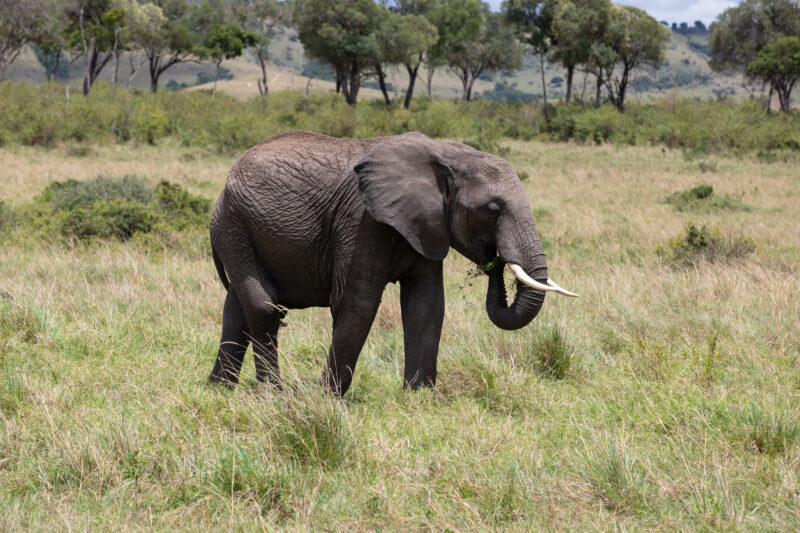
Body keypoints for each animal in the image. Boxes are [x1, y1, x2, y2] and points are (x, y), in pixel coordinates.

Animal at [208, 130, 576, 395]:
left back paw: (219, 389)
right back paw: (273, 393)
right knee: (262, 305)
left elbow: (426, 305)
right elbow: (357, 303)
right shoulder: (362, 221)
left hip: (237, 229)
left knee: (237, 308)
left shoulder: (426, 224)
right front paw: (326, 397)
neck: (446, 155)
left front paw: (418, 396)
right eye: (493, 210)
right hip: (234, 223)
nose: (495, 261)